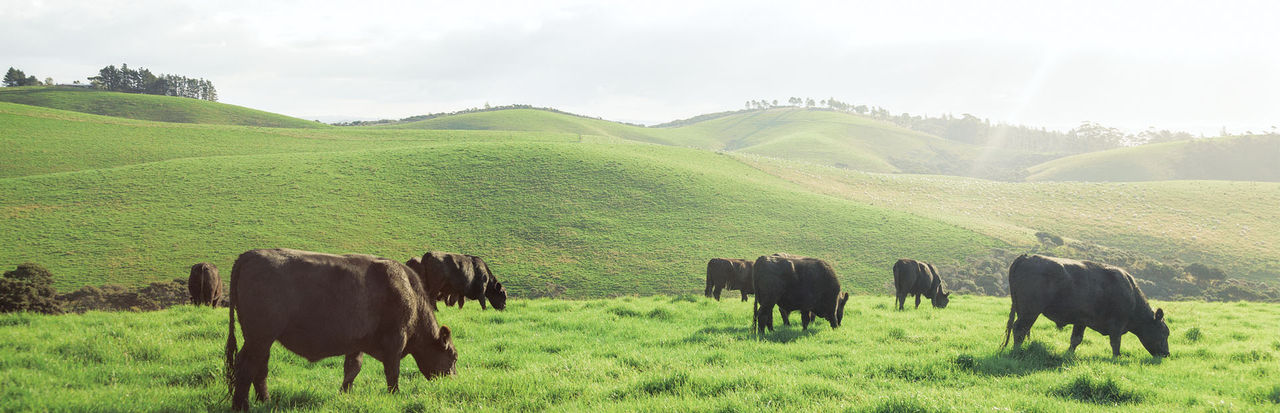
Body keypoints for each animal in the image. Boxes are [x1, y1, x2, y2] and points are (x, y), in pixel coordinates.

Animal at [222, 248, 458, 411]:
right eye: (453, 356)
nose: (453, 381)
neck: (409, 291)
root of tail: (249, 255)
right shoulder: (395, 341)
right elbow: (392, 372)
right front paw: (395, 395)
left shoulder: (356, 343)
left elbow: (352, 369)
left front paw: (345, 393)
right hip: (259, 337)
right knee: (246, 366)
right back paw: (241, 406)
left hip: (262, 339)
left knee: (260, 368)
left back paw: (265, 401)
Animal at [998, 254, 1172, 358]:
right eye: (1164, 332)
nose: (1167, 353)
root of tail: (1026, 257)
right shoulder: (1117, 324)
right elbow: (1115, 343)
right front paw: (1116, 358)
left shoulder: (1080, 321)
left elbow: (1076, 339)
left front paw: (1068, 355)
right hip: (1030, 311)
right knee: (1019, 329)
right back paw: (1016, 351)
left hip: (1023, 310)